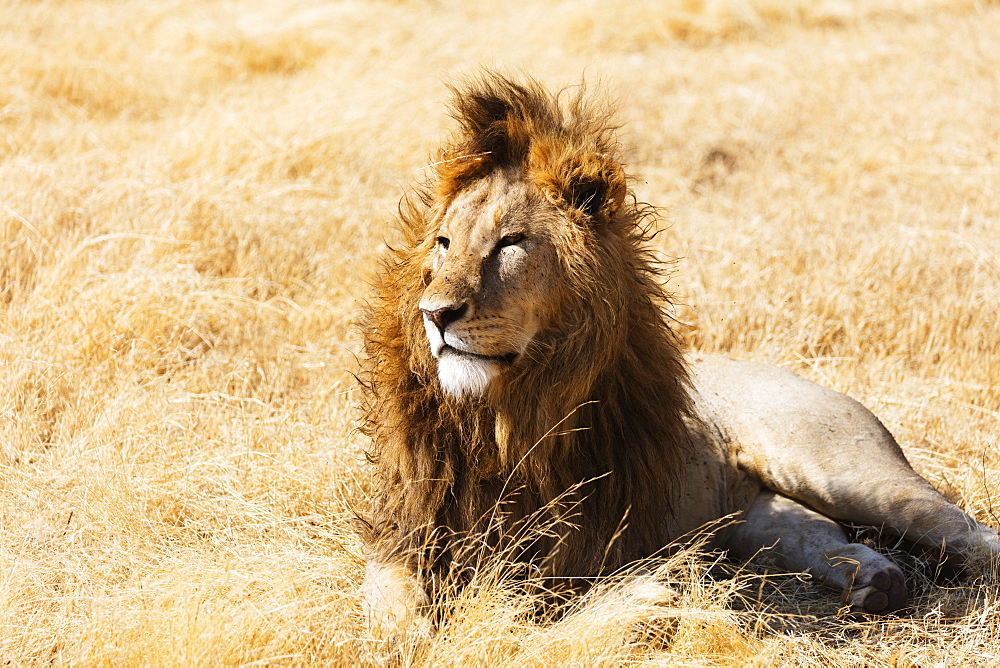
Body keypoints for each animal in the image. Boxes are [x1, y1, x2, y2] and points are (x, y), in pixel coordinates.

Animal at [360, 72, 1000, 636]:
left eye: (510, 243)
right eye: (443, 243)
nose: (435, 314)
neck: (500, 421)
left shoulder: (576, 559)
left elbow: (536, 617)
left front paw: (644, 603)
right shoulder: (405, 537)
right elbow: (390, 609)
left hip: (848, 472)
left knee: (965, 532)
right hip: (745, 518)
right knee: (810, 529)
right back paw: (873, 580)